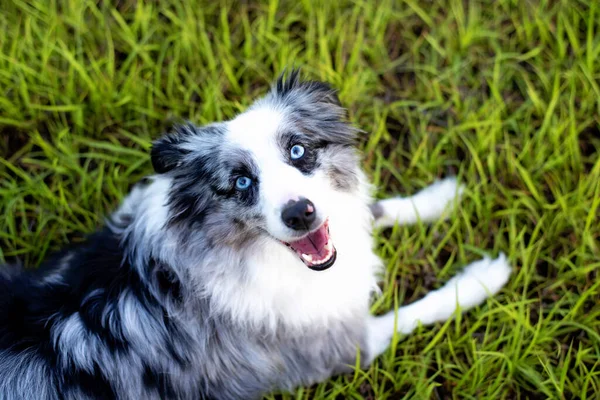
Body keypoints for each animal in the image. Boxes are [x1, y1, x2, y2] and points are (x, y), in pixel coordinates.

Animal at [0, 72, 510, 400]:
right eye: (242, 182)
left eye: (298, 151)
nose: (300, 214)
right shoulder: (338, 346)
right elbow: (420, 311)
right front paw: (482, 279)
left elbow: (374, 206)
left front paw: (441, 198)